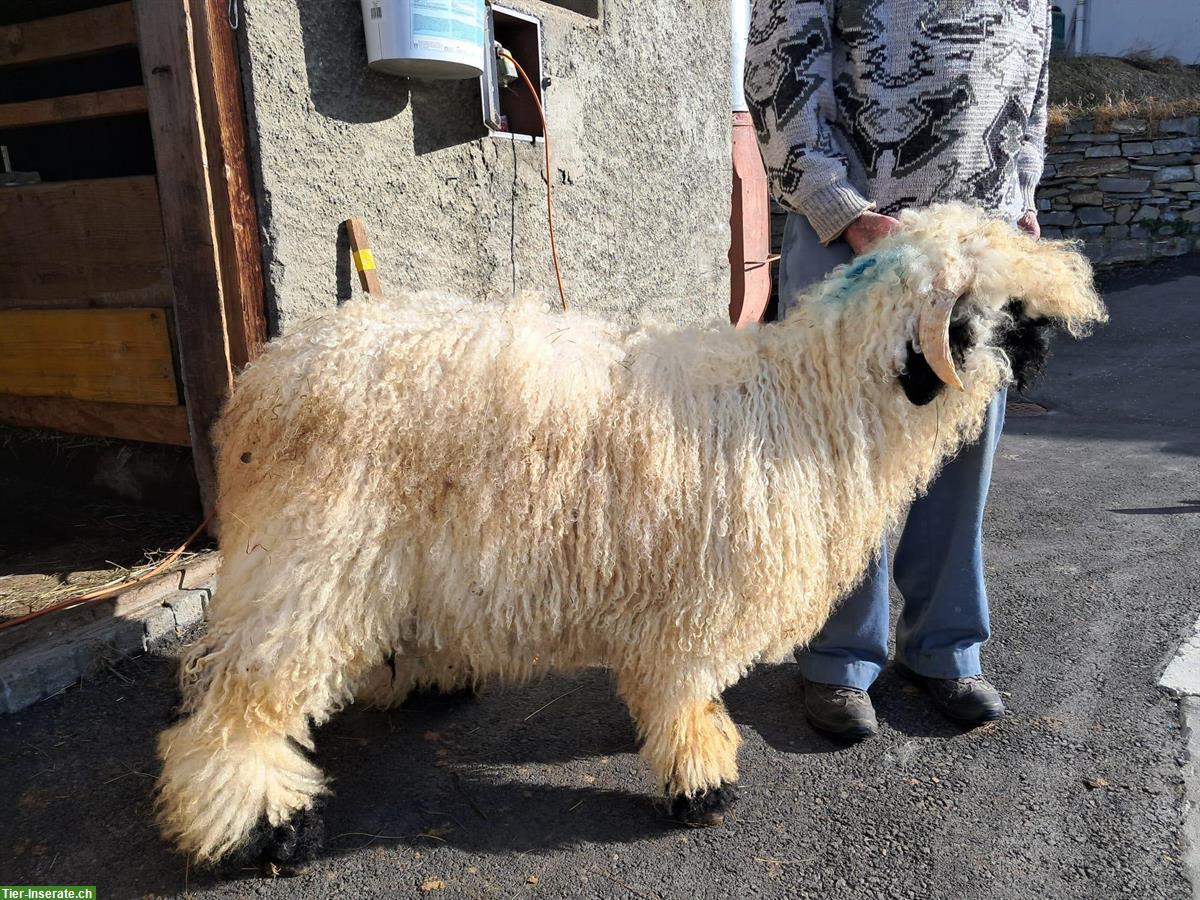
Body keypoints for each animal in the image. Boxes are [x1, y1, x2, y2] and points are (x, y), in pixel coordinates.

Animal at [157, 204, 1104, 873]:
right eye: (1010, 313)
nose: (1049, 356)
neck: (810, 403)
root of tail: (268, 375)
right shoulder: (698, 597)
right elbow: (684, 692)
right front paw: (702, 780)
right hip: (311, 552)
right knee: (246, 695)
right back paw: (262, 829)